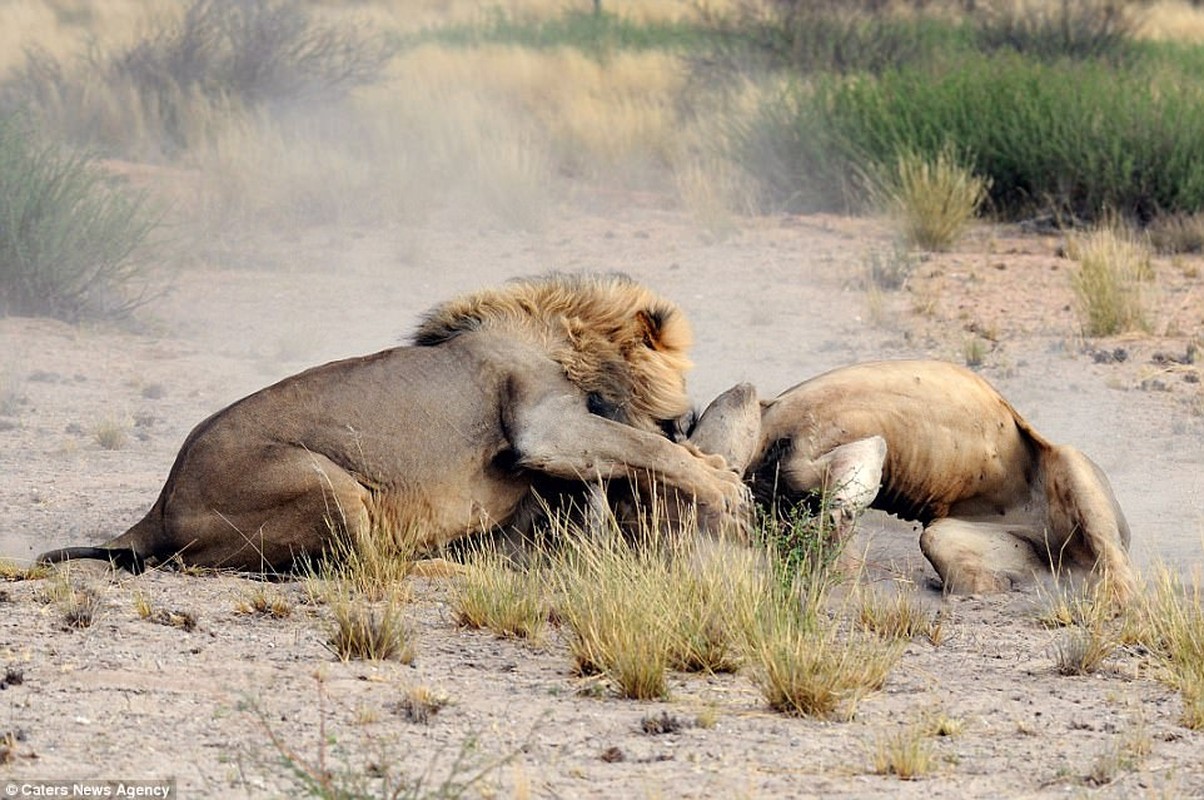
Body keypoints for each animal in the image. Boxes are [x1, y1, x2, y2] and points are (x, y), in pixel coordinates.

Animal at [37, 272, 741, 571]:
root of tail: (157, 508)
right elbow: (644, 445)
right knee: (362, 566)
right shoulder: (546, 430)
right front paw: (724, 485)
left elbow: (637, 451)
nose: (687, 416)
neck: (576, 338)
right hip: (329, 484)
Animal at [688, 361, 1136, 600]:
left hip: (1073, 468)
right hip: (956, 539)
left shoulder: (806, 447)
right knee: (976, 575)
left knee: (1117, 570)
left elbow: (831, 487)